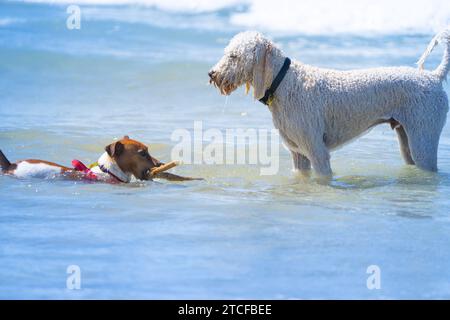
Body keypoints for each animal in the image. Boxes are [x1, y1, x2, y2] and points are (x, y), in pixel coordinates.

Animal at [209, 30, 448, 178]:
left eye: (234, 56)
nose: (212, 74)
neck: (284, 82)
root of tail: (434, 77)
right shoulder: (298, 153)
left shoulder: (316, 150)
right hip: (406, 137)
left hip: (424, 136)